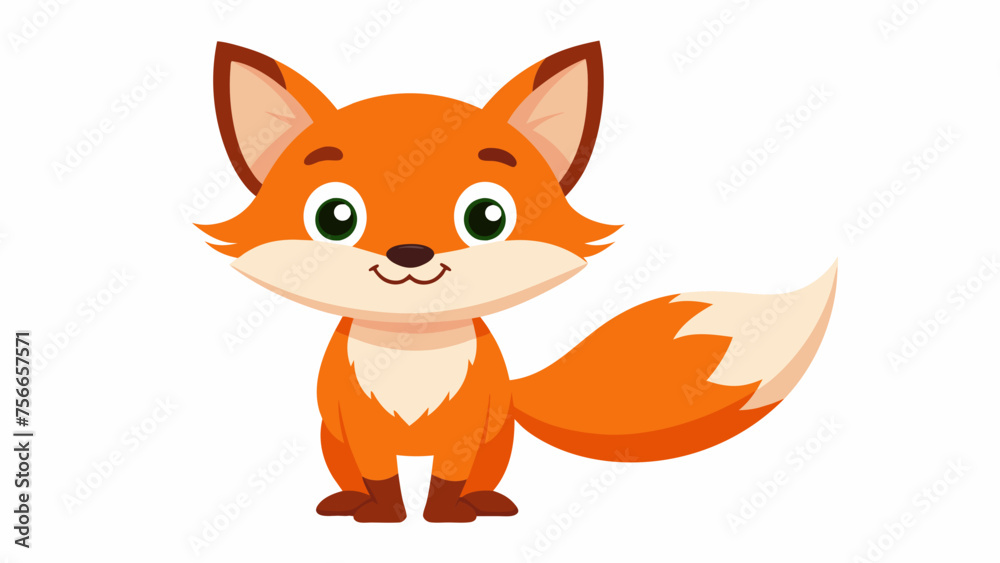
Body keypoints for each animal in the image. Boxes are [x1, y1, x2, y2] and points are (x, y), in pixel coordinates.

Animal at [197, 41, 837, 523]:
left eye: (487, 217)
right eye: (336, 217)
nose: (410, 253)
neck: (414, 350)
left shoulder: (467, 427)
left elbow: (447, 480)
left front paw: (444, 516)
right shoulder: (360, 427)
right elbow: (381, 479)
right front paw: (383, 514)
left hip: (496, 441)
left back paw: (485, 501)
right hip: (333, 442)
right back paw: (347, 500)